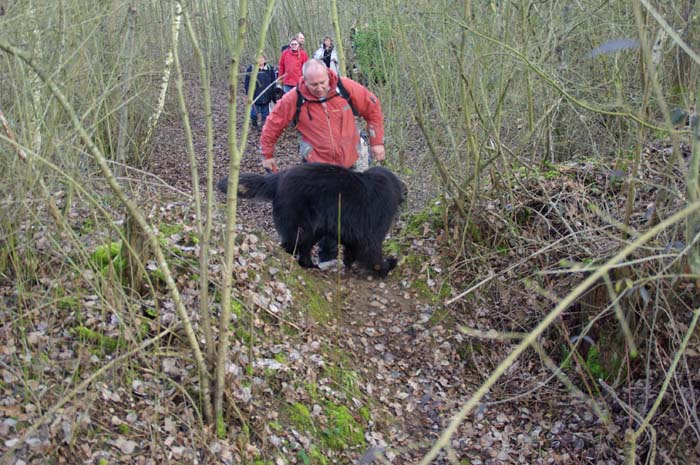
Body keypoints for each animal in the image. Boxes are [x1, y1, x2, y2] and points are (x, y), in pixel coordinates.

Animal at [219, 163, 404, 276]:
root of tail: (279, 178)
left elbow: (352, 250)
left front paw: (349, 264)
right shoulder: (371, 234)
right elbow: (373, 253)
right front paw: (386, 266)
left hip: (313, 229)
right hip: (302, 227)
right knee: (292, 246)